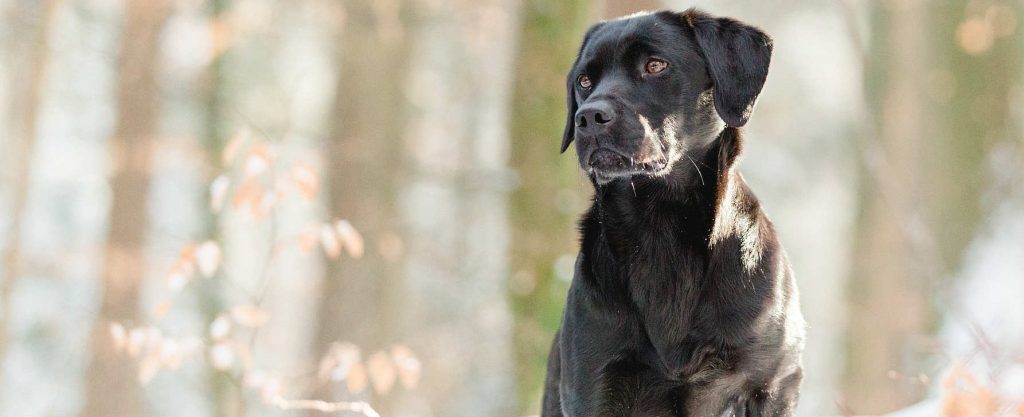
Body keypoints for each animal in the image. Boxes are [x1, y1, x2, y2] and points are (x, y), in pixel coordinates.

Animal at [544, 7, 806, 417]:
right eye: (585, 80)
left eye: (655, 65)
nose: (588, 116)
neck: (659, 228)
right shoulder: (593, 382)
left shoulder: (771, 384)